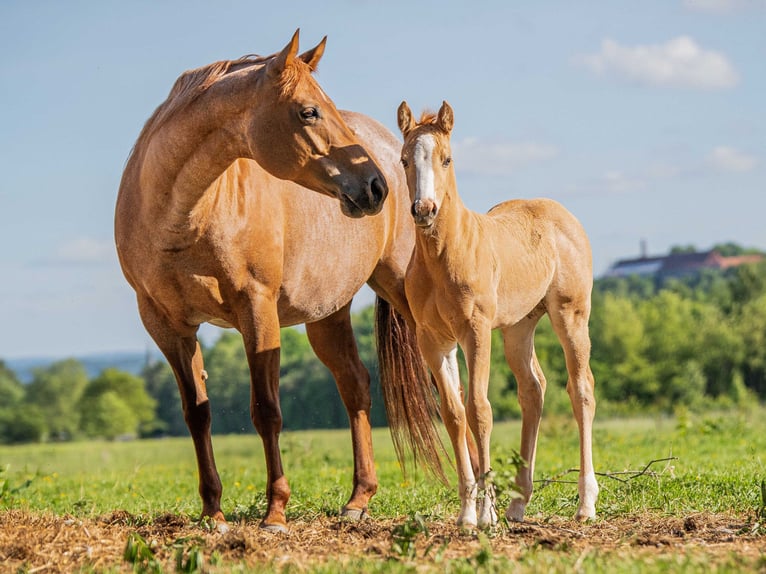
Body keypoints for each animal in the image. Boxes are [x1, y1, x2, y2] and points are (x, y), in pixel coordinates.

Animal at [115, 30, 445, 533]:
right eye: (308, 111)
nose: (376, 187)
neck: (181, 216)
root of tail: (395, 148)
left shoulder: (257, 309)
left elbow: (266, 411)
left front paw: (275, 512)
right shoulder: (167, 326)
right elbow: (197, 414)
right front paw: (213, 512)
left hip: (402, 293)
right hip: (327, 315)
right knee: (356, 386)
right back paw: (358, 499)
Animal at [396, 100, 599, 528]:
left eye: (446, 158)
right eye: (404, 159)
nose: (424, 209)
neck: (443, 256)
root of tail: (563, 214)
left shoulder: (476, 331)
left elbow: (480, 409)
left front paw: (485, 513)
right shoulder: (433, 340)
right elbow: (454, 414)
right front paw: (466, 513)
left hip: (570, 314)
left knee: (581, 389)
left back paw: (585, 503)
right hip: (518, 328)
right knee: (533, 390)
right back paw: (518, 503)